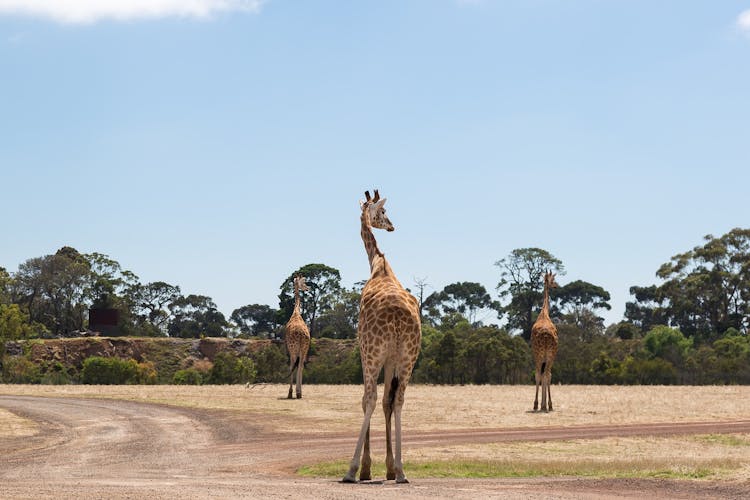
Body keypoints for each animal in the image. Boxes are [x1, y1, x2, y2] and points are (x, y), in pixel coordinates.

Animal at [342, 188, 424, 484]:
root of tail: (399, 319)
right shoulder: (392, 360)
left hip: (374, 352)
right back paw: (401, 470)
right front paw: (388, 467)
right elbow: (389, 402)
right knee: (398, 400)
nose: (392, 226)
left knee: (371, 399)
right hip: (409, 357)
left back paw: (350, 469)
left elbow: (367, 400)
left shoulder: (366, 351)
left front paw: (365, 468)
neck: (379, 265)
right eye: (385, 212)